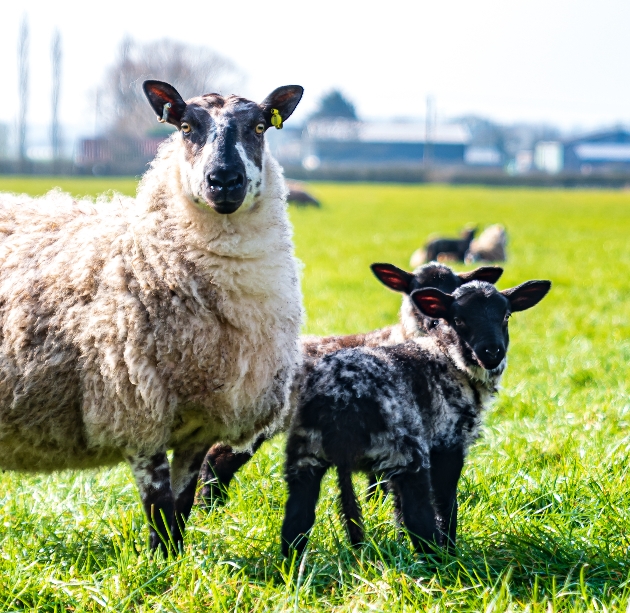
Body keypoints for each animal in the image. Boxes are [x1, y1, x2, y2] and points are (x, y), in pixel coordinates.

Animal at [0, 79, 306, 552]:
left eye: (259, 127)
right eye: (185, 127)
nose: (224, 180)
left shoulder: (200, 426)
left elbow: (181, 507)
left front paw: (178, 563)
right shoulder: (136, 410)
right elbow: (160, 509)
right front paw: (159, 565)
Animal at [282, 280, 552, 556]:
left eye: (506, 316)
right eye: (458, 319)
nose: (491, 353)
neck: (449, 357)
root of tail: (343, 397)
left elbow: (398, 510)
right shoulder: (447, 443)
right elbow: (445, 504)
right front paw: (450, 548)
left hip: (305, 451)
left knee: (297, 518)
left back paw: (292, 564)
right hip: (404, 451)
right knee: (419, 516)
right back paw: (439, 561)